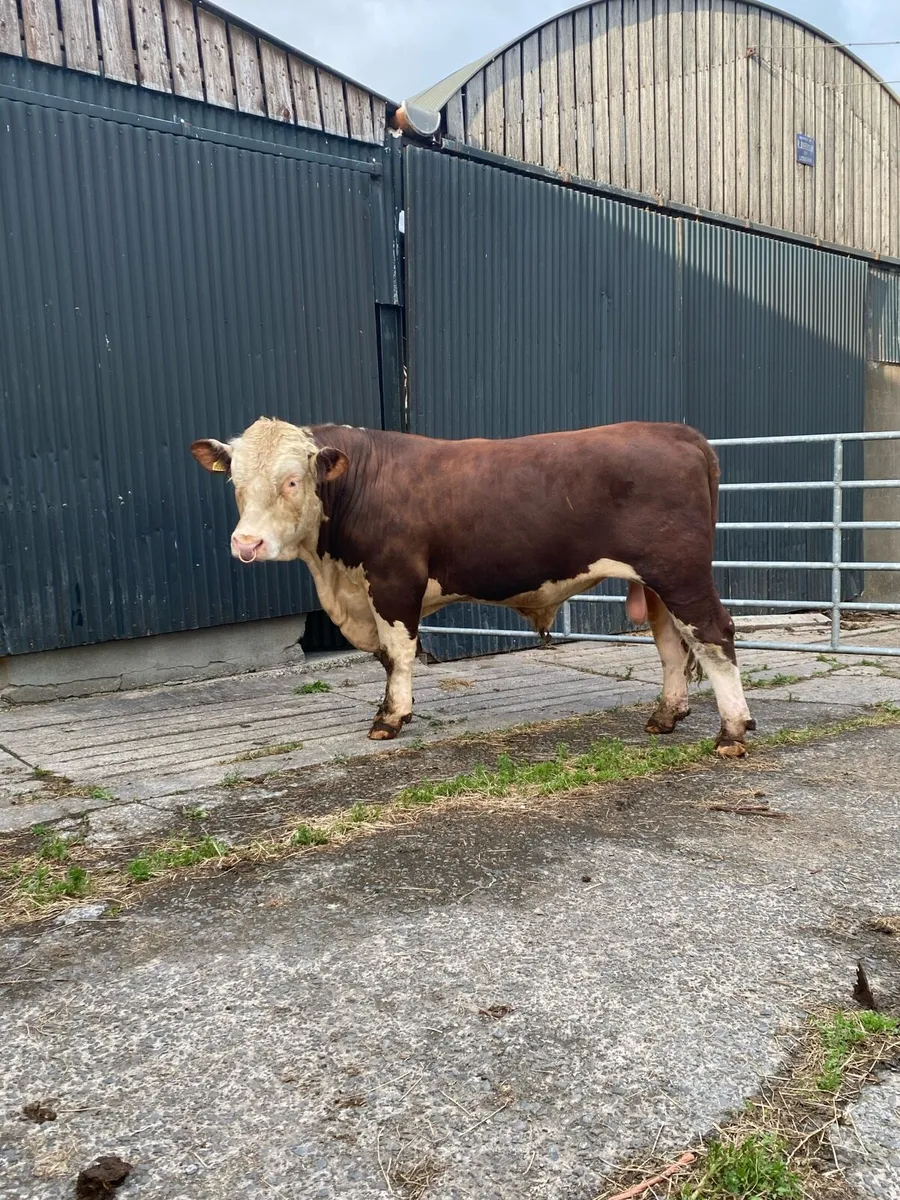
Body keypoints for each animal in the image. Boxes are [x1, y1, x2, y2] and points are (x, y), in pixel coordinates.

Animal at [191, 419, 755, 757]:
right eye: (235, 482)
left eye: (292, 480)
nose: (246, 543)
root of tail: (677, 432)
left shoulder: (394, 582)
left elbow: (397, 653)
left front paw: (390, 718)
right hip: (656, 581)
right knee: (672, 644)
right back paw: (665, 716)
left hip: (679, 571)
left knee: (714, 635)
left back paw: (731, 732)